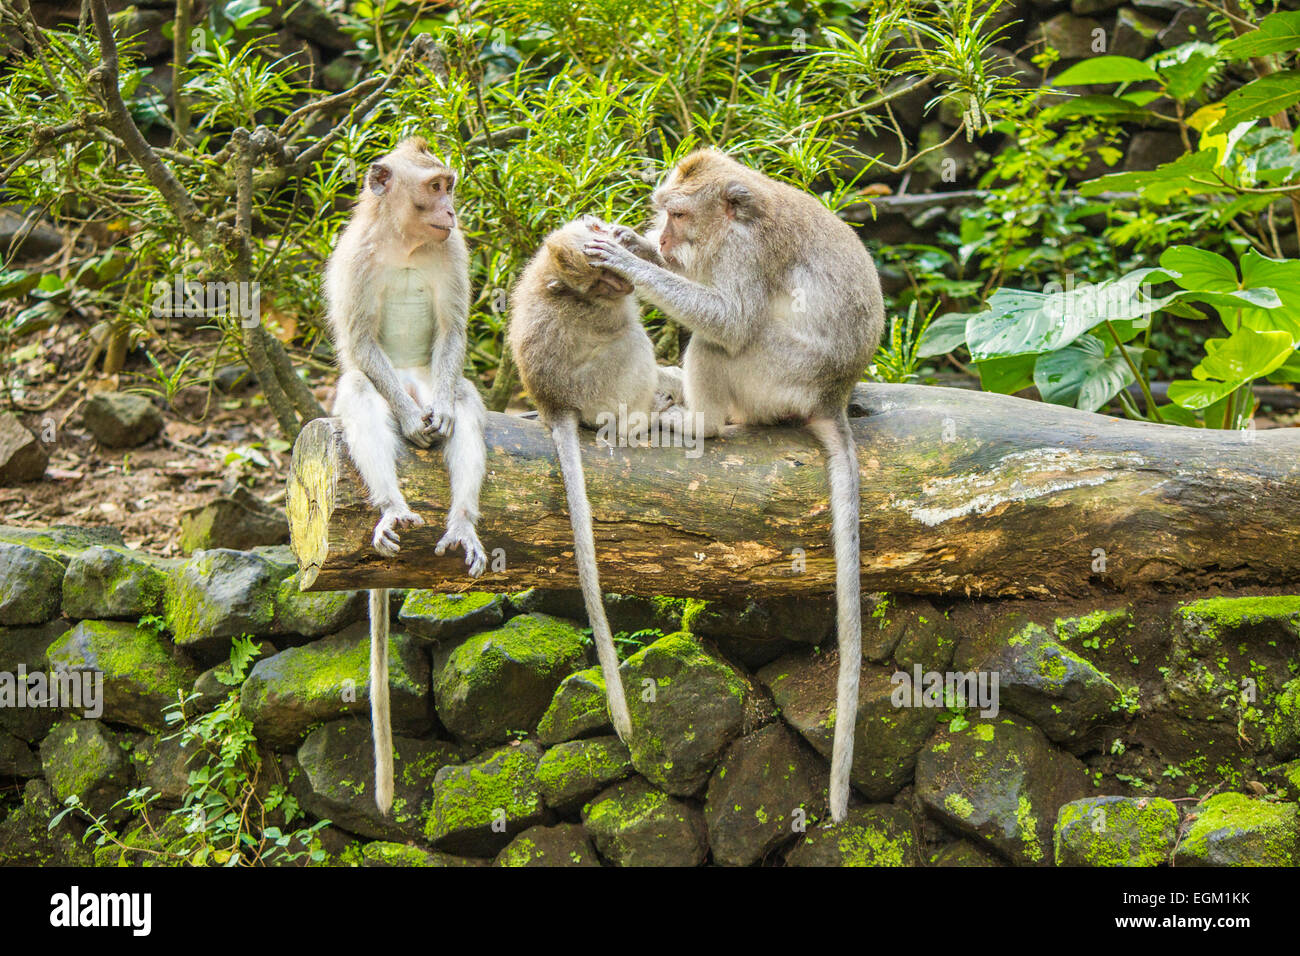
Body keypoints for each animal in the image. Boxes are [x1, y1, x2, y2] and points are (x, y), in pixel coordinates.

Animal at [507, 215, 685, 744]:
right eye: (601, 282)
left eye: (610, 270)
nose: (622, 285)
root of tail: (553, 405)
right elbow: (622, 326)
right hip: (600, 391)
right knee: (631, 341)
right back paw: (645, 417)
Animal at [583, 149, 884, 823]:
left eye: (678, 214)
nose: (665, 237)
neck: (728, 223)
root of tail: (832, 395)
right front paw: (632, 243)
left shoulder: (742, 254)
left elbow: (730, 316)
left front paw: (630, 261)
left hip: (775, 375)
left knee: (723, 341)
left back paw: (702, 421)